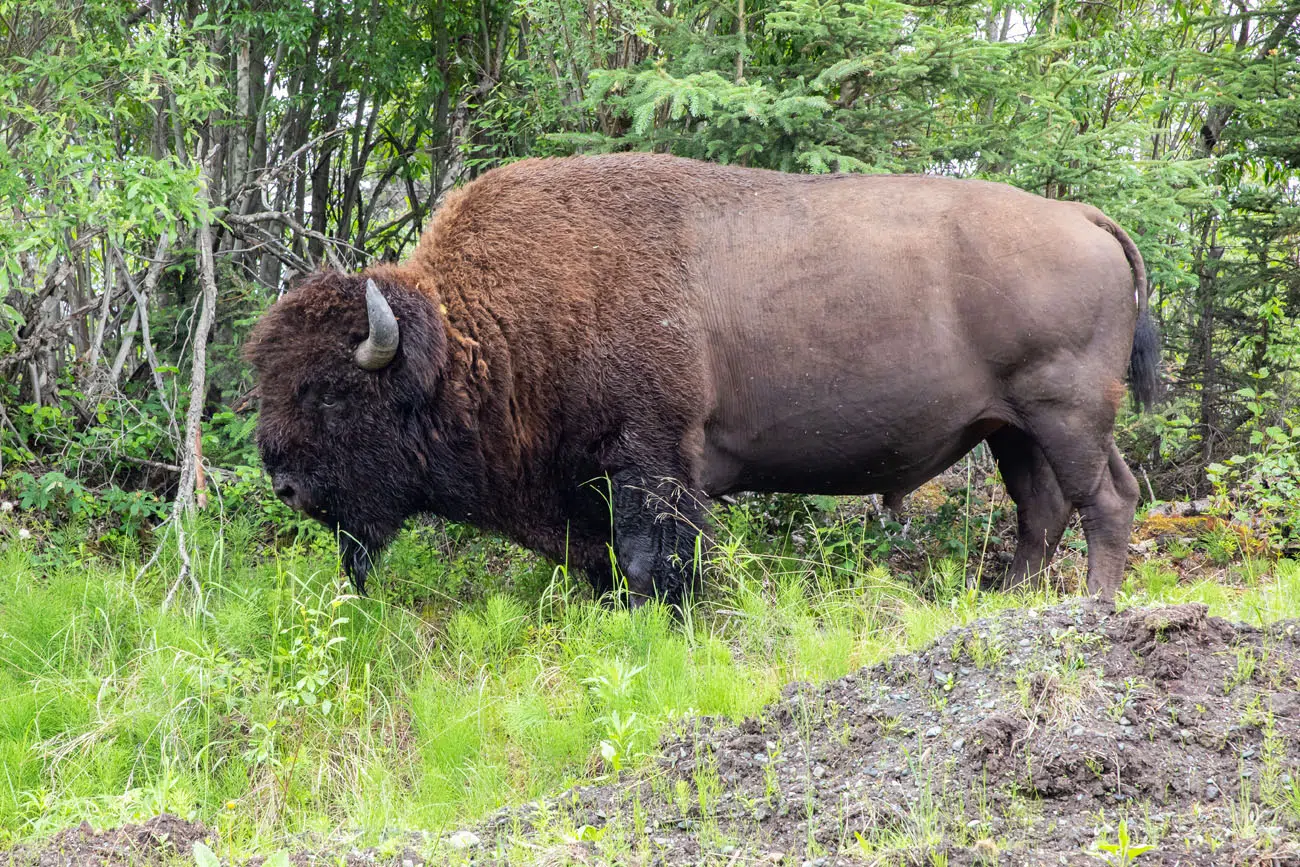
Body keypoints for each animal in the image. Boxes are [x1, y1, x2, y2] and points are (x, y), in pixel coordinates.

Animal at [246, 153, 1159, 604]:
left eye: (331, 391)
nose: (286, 484)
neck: (475, 329)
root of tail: (1082, 217)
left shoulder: (651, 463)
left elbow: (656, 557)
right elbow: (607, 560)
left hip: (1065, 412)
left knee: (1106, 498)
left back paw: (1093, 606)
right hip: (1014, 430)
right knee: (1043, 510)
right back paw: (1011, 601)